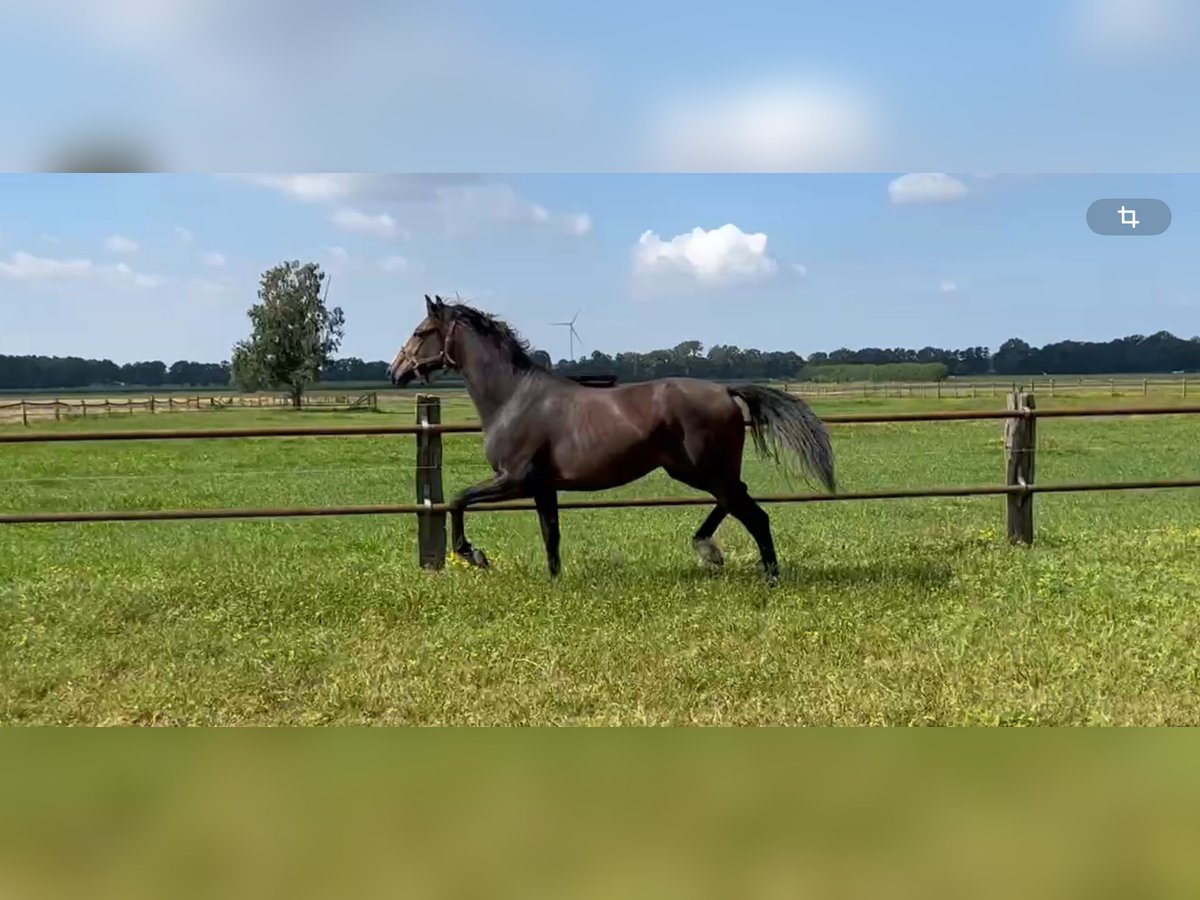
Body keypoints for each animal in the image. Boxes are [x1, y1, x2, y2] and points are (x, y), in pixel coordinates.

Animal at [386, 292, 835, 580]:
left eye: (421, 331)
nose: (395, 371)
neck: (513, 397)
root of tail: (725, 390)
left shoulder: (514, 480)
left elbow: (457, 500)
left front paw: (473, 554)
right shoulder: (542, 486)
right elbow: (550, 533)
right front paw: (555, 580)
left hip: (701, 471)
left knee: (752, 513)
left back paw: (759, 571)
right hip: (702, 471)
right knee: (735, 502)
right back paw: (712, 550)